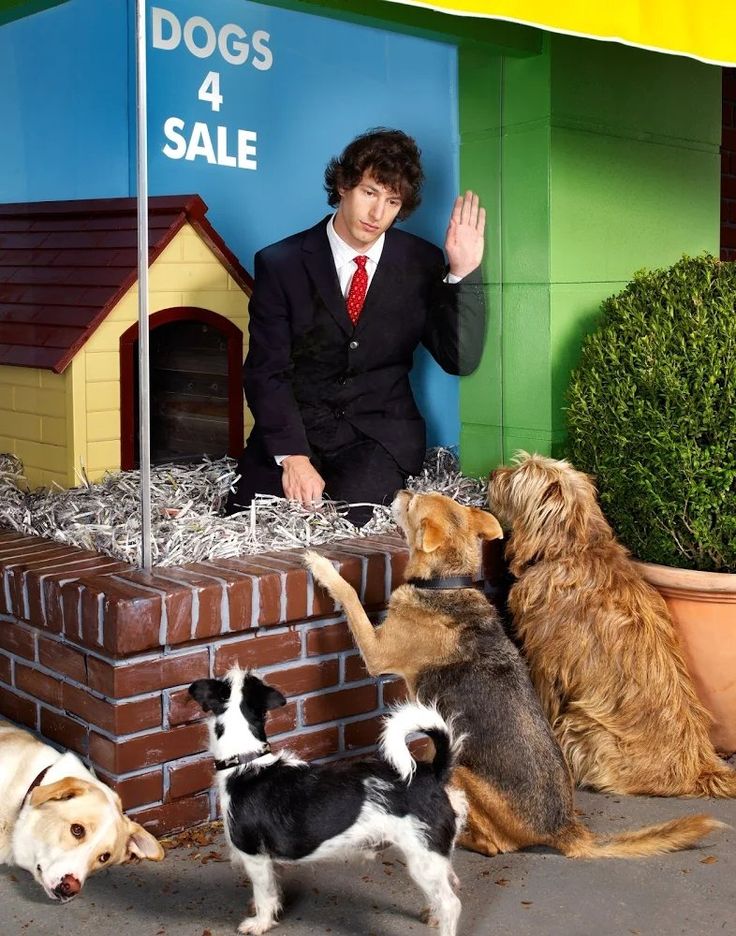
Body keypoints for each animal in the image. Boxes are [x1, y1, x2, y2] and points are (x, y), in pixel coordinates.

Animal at [188, 668, 466, 932]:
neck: (247, 762)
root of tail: (434, 773)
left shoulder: (255, 857)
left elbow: (265, 895)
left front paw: (260, 923)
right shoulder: (269, 862)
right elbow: (273, 889)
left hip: (423, 858)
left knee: (451, 904)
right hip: (433, 858)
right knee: (449, 884)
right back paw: (432, 915)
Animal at [304, 494, 720, 860]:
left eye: (414, 503)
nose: (401, 489)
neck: (447, 583)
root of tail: (564, 827)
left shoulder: (376, 652)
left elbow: (350, 596)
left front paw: (321, 565)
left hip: (461, 771)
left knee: (494, 845)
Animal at [488, 454, 736, 796]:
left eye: (518, 475)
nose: (491, 474)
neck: (574, 549)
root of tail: (699, 767)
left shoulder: (546, 663)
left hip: (580, 726)